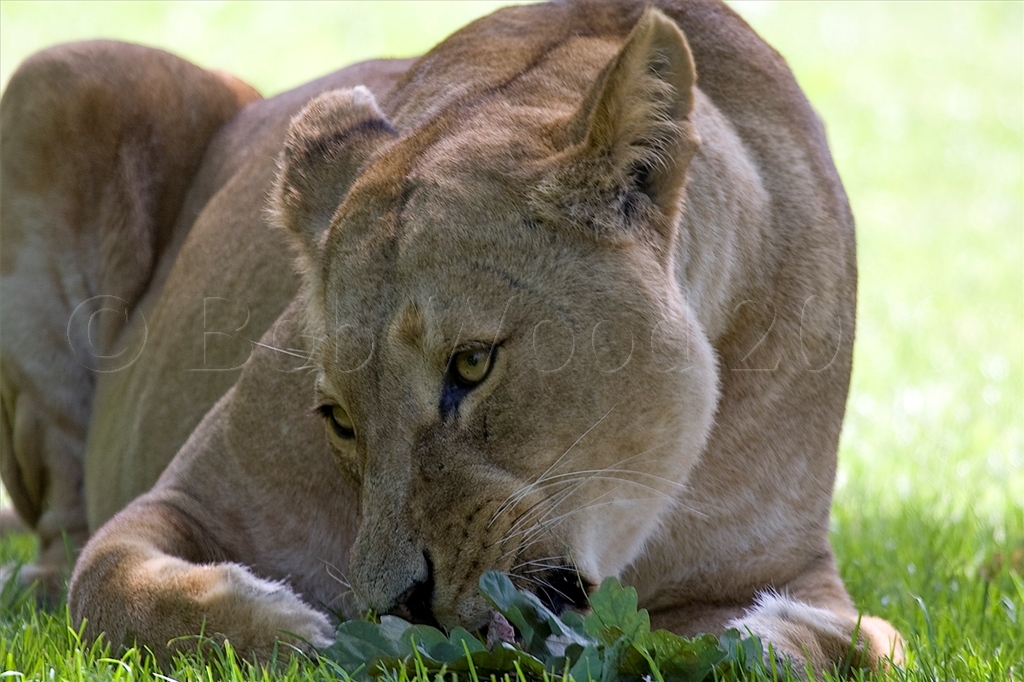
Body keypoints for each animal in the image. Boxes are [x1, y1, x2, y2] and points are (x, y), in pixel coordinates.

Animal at [0, 0, 903, 674]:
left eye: (471, 365)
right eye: (338, 417)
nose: (400, 603)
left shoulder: (792, 568)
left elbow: (864, 643)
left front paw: (770, 637)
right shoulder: (189, 499)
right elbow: (107, 584)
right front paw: (290, 629)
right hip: (62, 75)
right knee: (63, 538)